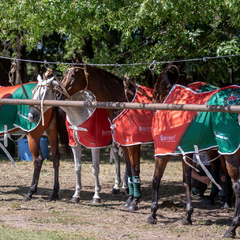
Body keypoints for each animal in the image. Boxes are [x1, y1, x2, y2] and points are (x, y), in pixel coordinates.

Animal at [55, 55, 154, 211]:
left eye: (74, 74)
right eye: (64, 74)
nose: (58, 94)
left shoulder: (96, 145)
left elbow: (96, 169)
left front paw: (96, 196)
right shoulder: (75, 145)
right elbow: (77, 168)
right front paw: (76, 195)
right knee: (119, 160)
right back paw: (119, 187)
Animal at [148, 64, 240, 239]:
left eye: (155, 86)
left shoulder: (162, 153)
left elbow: (156, 181)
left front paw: (152, 214)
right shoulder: (188, 152)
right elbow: (187, 182)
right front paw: (187, 216)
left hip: (230, 153)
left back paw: (232, 228)